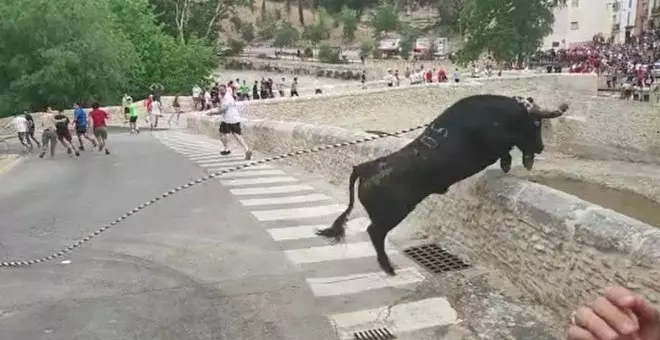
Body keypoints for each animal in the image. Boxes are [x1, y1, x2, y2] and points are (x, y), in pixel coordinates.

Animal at [316, 94, 568, 274]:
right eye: (536, 123)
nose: (541, 148)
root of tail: (366, 167)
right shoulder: (496, 141)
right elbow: (508, 146)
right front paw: (513, 163)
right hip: (393, 213)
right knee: (374, 232)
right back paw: (390, 269)